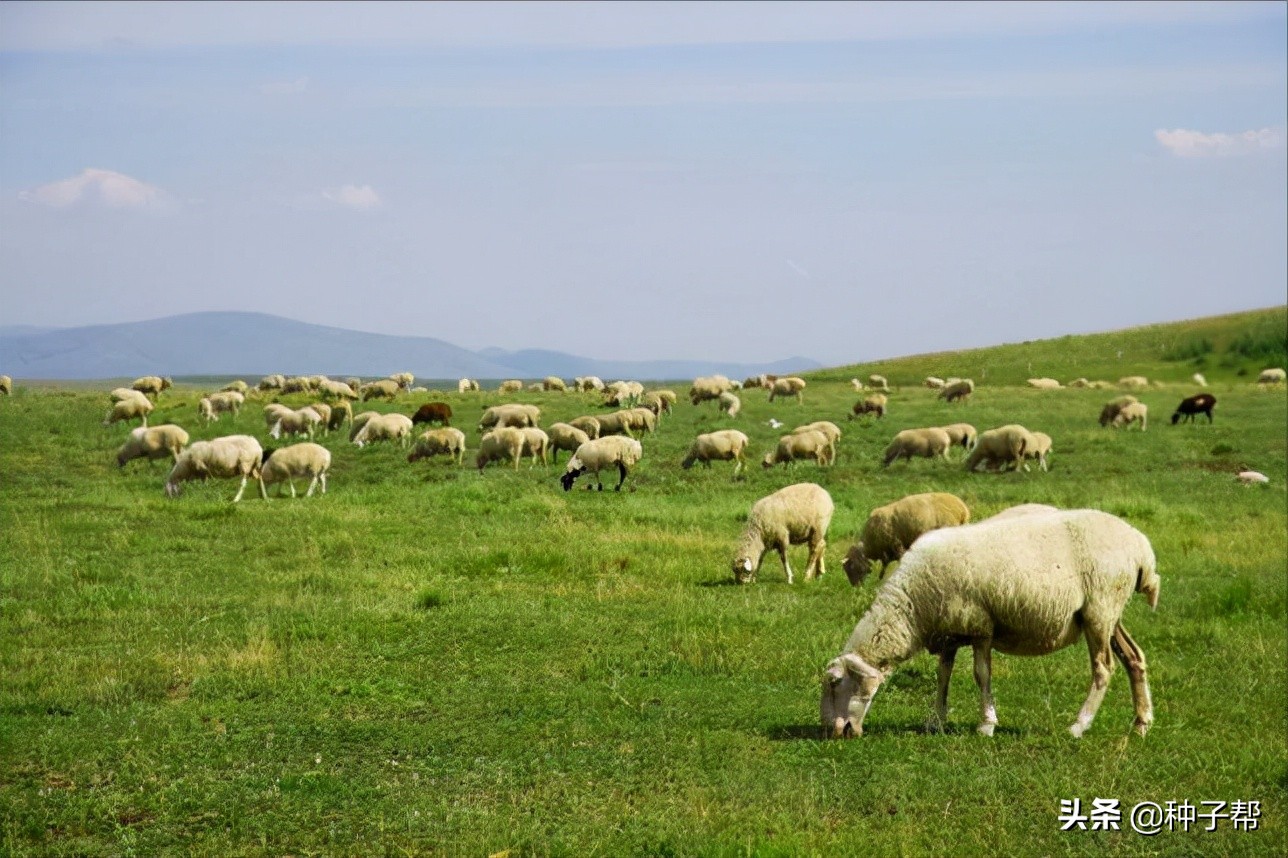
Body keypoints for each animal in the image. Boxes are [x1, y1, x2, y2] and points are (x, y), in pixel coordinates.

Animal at [819, 507, 1164, 736]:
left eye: (835, 682)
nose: (835, 732)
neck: (913, 607)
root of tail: (1141, 547)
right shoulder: (950, 631)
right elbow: (943, 675)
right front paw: (937, 719)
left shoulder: (979, 626)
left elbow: (981, 675)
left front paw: (986, 724)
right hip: (1109, 615)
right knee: (1134, 658)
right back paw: (1141, 723)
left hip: (1100, 609)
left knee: (1104, 668)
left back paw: (1079, 725)